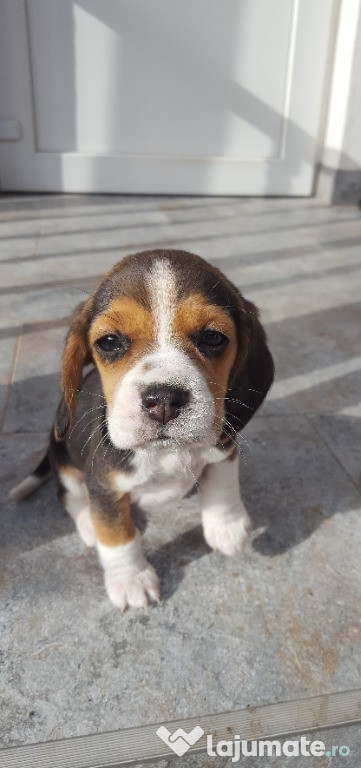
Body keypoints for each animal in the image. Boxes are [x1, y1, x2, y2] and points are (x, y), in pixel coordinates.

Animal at [11, 252, 272, 612]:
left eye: (213, 337)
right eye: (109, 342)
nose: (163, 400)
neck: (164, 453)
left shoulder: (223, 443)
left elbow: (222, 483)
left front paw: (227, 527)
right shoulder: (104, 487)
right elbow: (118, 535)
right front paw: (131, 579)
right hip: (64, 463)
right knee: (68, 495)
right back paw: (88, 525)